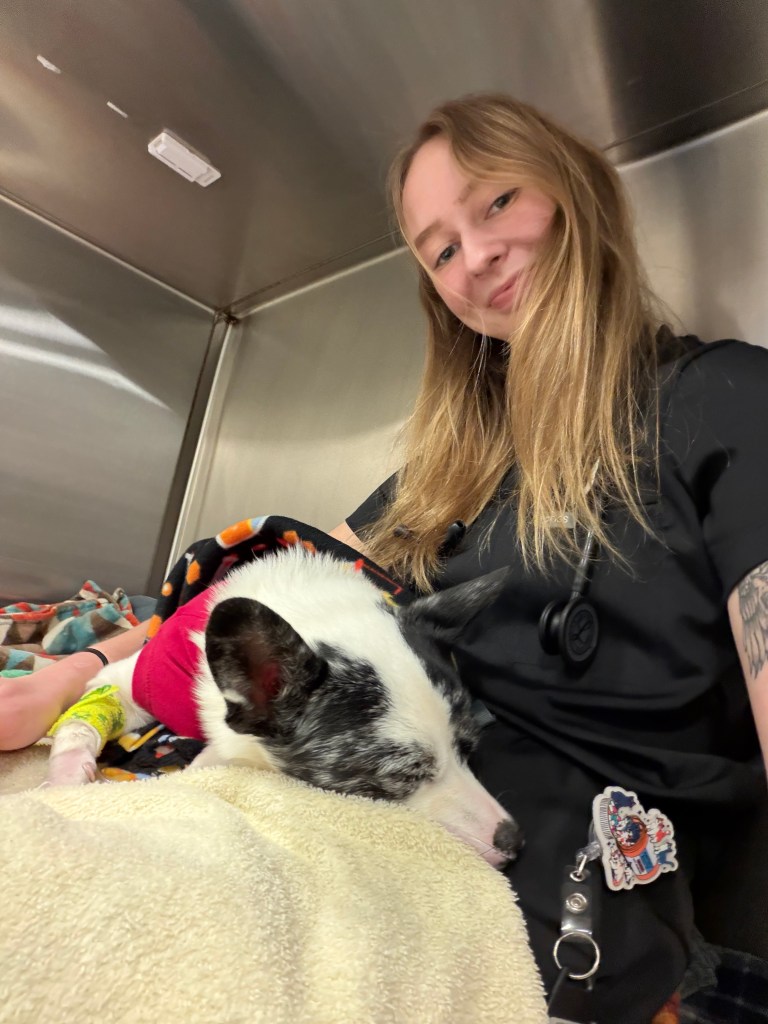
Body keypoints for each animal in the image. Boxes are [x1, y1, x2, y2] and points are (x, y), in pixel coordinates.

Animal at [46, 546, 522, 867]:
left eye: (468, 749)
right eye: (405, 776)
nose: (515, 843)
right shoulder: (124, 680)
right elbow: (80, 723)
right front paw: (66, 775)